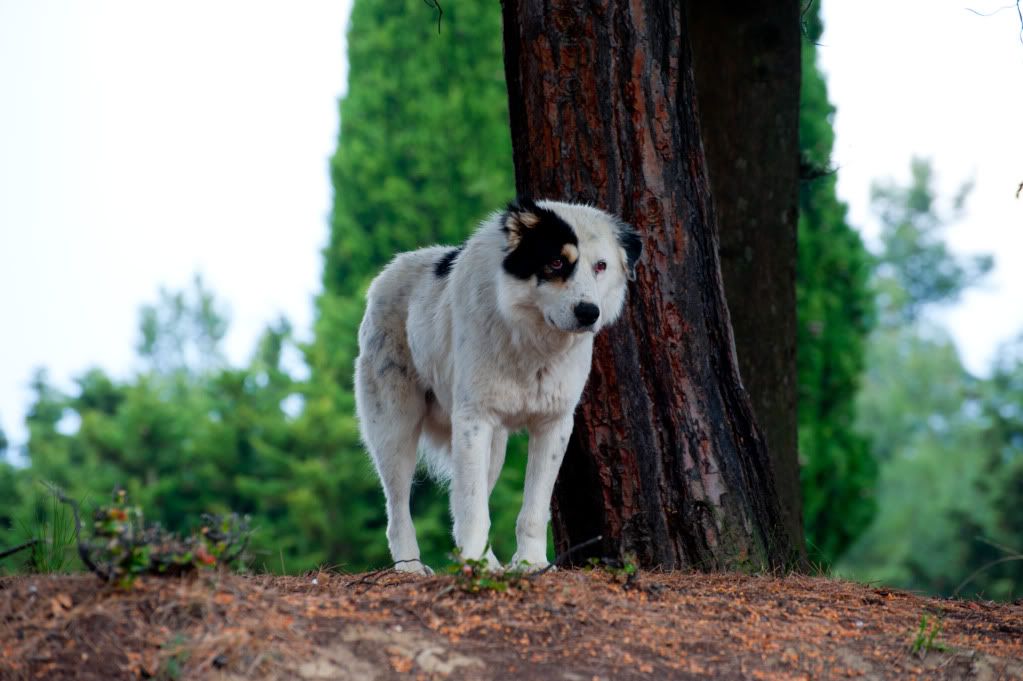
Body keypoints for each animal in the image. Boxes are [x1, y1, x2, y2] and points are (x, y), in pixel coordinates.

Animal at [351, 197, 638, 572]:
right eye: (556, 262)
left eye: (601, 266)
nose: (589, 312)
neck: (531, 344)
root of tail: (387, 272)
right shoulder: (473, 421)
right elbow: (473, 509)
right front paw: (474, 563)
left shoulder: (554, 425)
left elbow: (531, 510)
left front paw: (530, 564)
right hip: (395, 431)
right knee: (398, 510)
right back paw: (411, 566)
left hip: (495, 447)